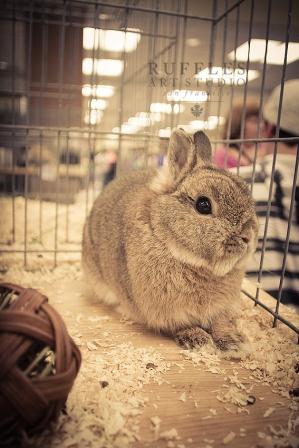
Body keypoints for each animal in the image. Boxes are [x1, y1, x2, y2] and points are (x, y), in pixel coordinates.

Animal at [82, 128, 260, 352]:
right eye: (203, 205)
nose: (248, 237)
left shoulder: (221, 309)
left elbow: (221, 322)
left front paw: (235, 343)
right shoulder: (163, 312)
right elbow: (179, 325)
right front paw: (198, 340)